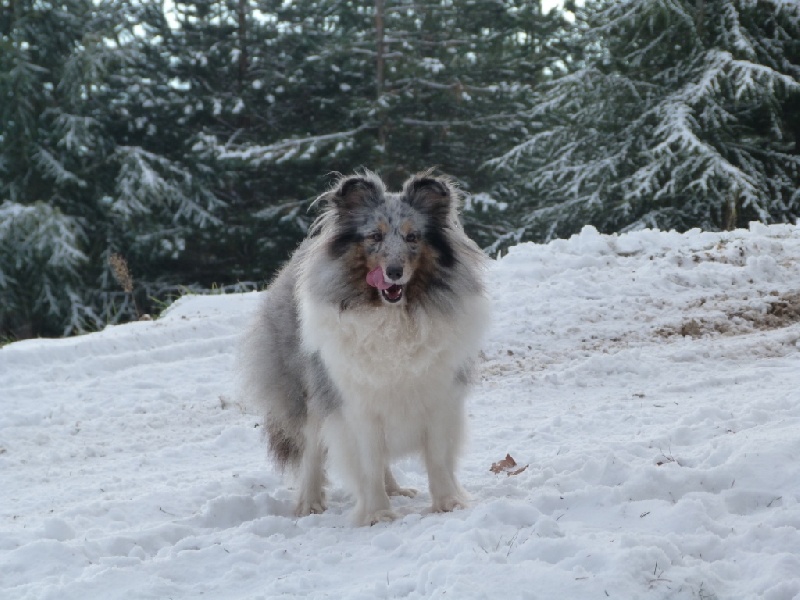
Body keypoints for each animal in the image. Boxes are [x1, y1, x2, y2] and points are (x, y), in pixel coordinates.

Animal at [239, 169, 488, 524]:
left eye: (413, 237)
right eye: (374, 236)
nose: (394, 273)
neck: (394, 316)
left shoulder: (440, 397)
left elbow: (438, 457)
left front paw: (448, 504)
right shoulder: (356, 404)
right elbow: (367, 463)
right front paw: (377, 515)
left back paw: (397, 490)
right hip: (311, 393)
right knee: (312, 451)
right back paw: (309, 505)